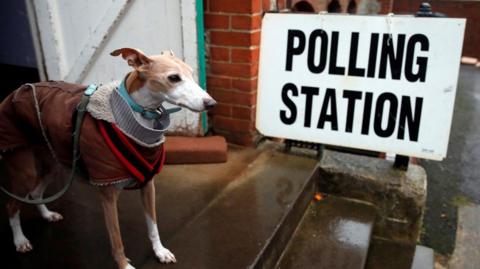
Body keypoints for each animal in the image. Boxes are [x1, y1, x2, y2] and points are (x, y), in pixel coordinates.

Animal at [0, 48, 217, 268]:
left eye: (191, 73)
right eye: (174, 78)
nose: (211, 104)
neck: (135, 118)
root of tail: (16, 91)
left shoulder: (148, 185)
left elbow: (153, 225)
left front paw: (160, 251)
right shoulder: (107, 194)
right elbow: (116, 239)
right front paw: (124, 265)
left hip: (54, 163)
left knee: (35, 193)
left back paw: (47, 215)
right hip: (24, 169)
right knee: (11, 206)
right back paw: (20, 240)